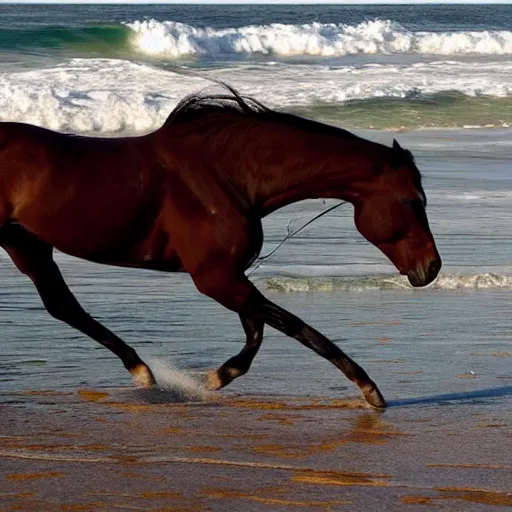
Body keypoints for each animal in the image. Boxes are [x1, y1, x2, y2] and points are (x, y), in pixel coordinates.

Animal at [0, 86, 440, 410]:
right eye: (411, 201)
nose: (432, 267)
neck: (227, 175)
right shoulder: (216, 279)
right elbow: (295, 327)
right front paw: (370, 389)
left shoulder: (230, 276)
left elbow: (259, 329)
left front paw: (217, 377)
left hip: (26, 242)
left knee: (63, 306)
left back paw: (141, 370)